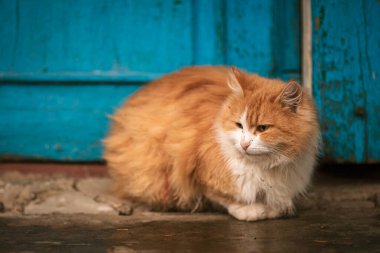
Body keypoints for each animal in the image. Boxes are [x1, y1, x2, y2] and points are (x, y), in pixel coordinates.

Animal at [102, 66, 320, 220]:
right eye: (239, 125)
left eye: (263, 128)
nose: (244, 144)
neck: (263, 166)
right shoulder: (199, 171)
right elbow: (226, 198)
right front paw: (254, 210)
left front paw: (278, 207)